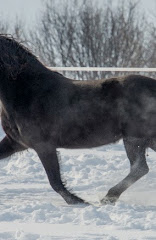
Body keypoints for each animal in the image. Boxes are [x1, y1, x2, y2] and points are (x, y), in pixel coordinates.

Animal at [0, 35, 155, 204]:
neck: (27, 92)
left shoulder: (44, 146)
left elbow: (55, 181)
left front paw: (78, 202)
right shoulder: (16, 142)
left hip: (134, 138)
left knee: (139, 168)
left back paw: (108, 198)